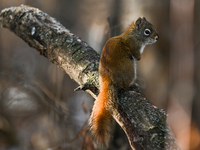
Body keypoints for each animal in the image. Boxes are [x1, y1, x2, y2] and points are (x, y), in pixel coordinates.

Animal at [88, 17, 159, 147]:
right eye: (147, 31)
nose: (157, 37)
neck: (133, 34)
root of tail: (107, 78)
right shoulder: (134, 45)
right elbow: (136, 54)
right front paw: (140, 57)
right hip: (130, 68)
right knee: (124, 85)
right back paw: (132, 85)